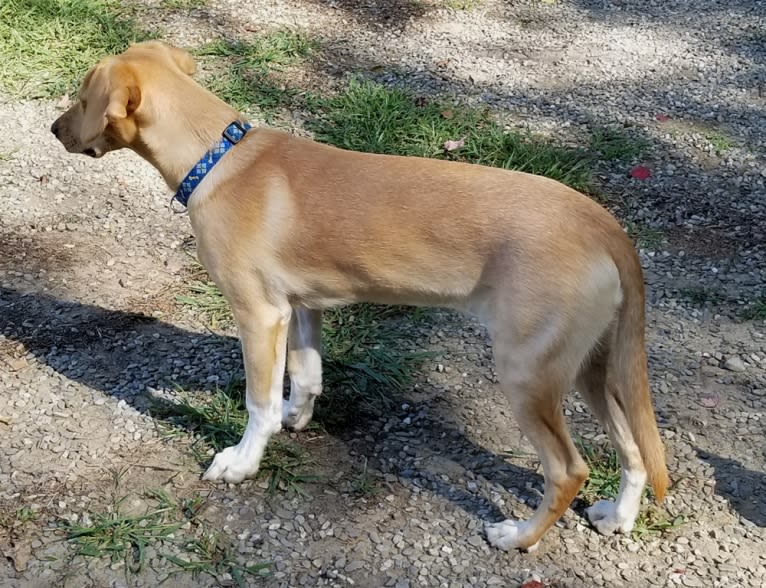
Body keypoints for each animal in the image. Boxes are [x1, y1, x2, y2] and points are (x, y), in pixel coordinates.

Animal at [52, 41, 672, 552]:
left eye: (82, 98)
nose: (55, 130)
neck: (218, 159)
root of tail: (602, 224)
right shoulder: (300, 307)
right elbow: (305, 377)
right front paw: (296, 418)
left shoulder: (259, 314)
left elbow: (258, 403)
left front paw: (242, 463)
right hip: (592, 366)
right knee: (634, 449)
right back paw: (619, 517)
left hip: (528, 371)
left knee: (568, 470)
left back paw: (518, 536)